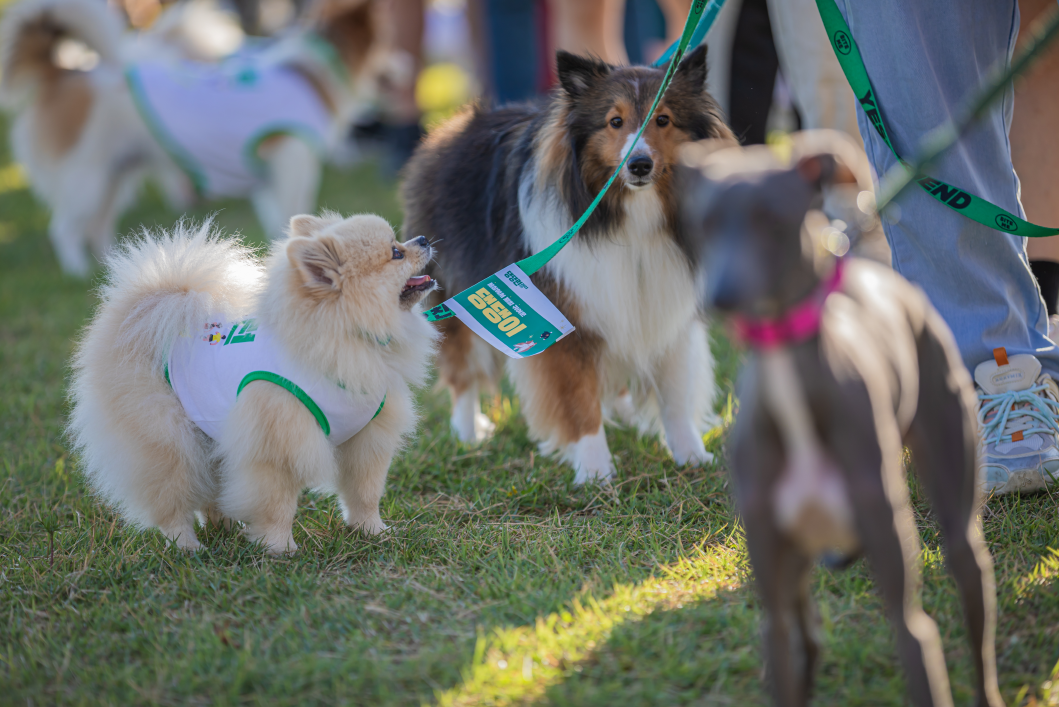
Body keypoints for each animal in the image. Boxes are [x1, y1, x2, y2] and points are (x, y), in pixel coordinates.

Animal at [0, 0, 387, 277]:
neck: (314, 73)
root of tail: (62, 72)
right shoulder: (290, 164)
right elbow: (294, 210)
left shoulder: (267, 177)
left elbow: (279, 220)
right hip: (85, 181)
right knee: (64, 229)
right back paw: (78, 272)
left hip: (114, 177)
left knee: (97, 226)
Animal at [67, 212, 438, 554]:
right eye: (395, 252)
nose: (423, 238)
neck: (344, 339)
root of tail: (145, 311)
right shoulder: (278, 444)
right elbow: (277, 504)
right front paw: (280, 548)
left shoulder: (367, 438)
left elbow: (365, 493)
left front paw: (372, 532)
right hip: (169, 440)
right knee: (171, 498)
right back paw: (187, 547)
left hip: (211, 433)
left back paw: (224, 525)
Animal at [402, 46, 737, 482]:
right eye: (615, 121)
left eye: (663, 119)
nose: (639, 165)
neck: (627, 218)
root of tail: (453, 127)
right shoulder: (566, 319)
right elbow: (579, 398)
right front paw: (595, 471)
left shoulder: (668, 306)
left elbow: (675, 395)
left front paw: (692, 457)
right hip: (458, 291)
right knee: (464, 372)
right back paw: (468, 433)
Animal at [673, 132, 1003, 707]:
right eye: (705, 222)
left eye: (769, 218)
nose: (721, 297)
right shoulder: (774, 605)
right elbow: (785, 640)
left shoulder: (908, 615)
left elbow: (916, 638)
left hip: (956, 500)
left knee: (973, 602)